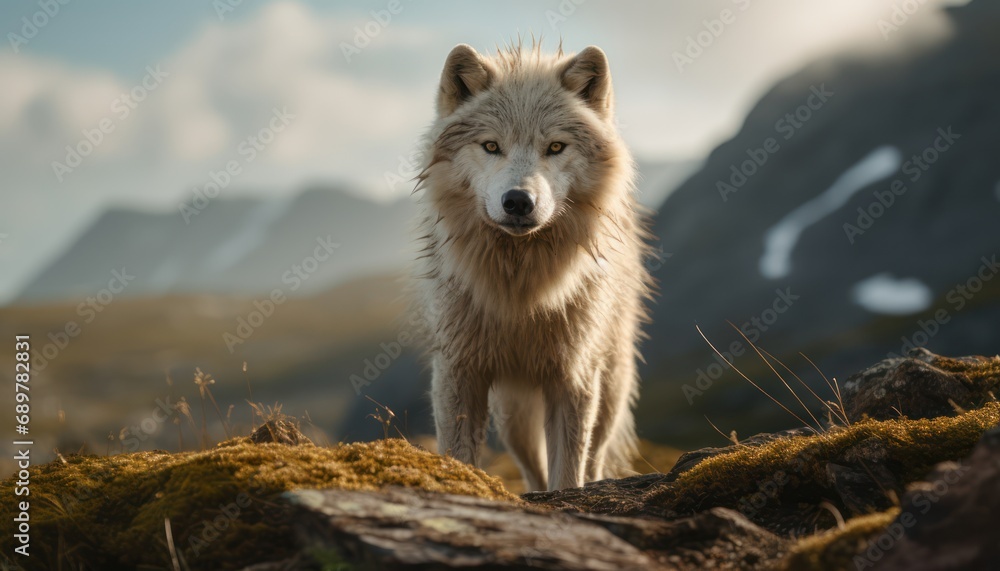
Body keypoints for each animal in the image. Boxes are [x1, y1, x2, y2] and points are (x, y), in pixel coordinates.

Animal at [412, 42, 652, 491]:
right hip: (514, 418)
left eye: (555, 147)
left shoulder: (573, 376)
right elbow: (459, 455)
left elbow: (568, 471)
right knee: (533, 471)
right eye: (491, 146)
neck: (521, 292)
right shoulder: (458, 369)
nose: (518, 201)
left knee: (593, 458)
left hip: (608, 389)